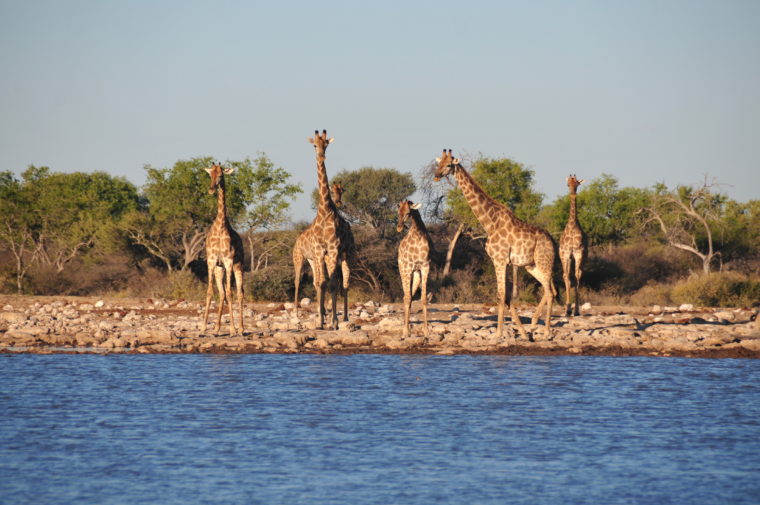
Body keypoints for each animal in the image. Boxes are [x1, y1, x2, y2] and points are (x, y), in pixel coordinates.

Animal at [202, 161, 246, 334]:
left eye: (221, 175)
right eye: (210, 174)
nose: (211, 189)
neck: (221, 226)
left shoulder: (228, 261)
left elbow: (230, 293)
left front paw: (233, 329)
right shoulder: (212, 261)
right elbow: (210, 292)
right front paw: (203, 329)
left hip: (238, 266)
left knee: (240, 293)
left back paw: (241, 328)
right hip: (219, 269)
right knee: (221, 294)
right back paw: (216, 328)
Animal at [394, 199, 430, 336]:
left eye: (408, 213)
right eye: (398, 212)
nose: (399, 228)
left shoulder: (425, 266)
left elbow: (423, 298)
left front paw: (426, 331)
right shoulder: (408, 267)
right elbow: (408, 298)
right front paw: (405, 331)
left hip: (416, 273)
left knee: (410, 295)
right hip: (403, 269)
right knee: (406, 297)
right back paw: (405, 330)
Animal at [434, 150, 560, 338]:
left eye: (449, 165)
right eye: (439, 163)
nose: (436, 175)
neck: (490, 223)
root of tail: (552, 241)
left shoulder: (499, 260)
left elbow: (501, 295)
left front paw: (499, 333)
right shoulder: (504, 262)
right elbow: (506, 297)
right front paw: (521, 332)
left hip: (544, 262)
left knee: (551, 292)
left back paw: (546, 331)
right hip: (532, 266)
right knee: (549, 290)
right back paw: (533, 325)